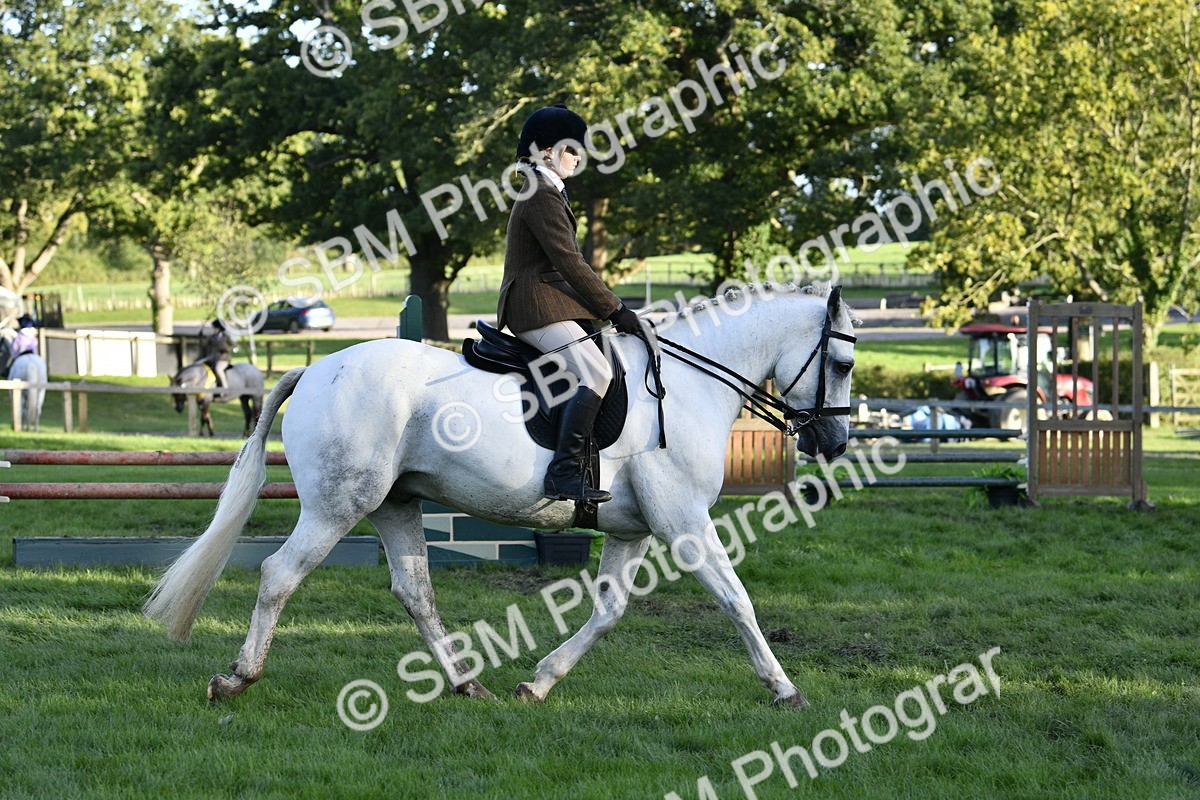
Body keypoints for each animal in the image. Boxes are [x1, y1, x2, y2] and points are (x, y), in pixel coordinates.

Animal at [145, 283, 859, 707]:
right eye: (844, 364)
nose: (835, 440)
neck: (686, 386)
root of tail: (315, 367)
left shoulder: (632, 529)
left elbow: (608, 611)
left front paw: (539, 681)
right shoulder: (683, 519)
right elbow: (736, 599)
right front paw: (785, 688)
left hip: (394, 505)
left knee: (414, 591)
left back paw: (467, 684)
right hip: (337, 507)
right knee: (278, 574)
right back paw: (237, 676)